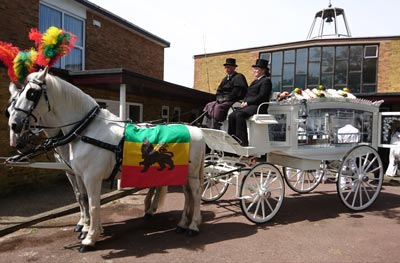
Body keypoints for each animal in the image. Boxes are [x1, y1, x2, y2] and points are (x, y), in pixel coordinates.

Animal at [7, 67, 205, 252]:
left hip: (191, 174)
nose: (14, 125)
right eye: (11, 104)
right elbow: (84, 200)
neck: (87, 129)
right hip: (182, 173)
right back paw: (181, 223)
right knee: (187, 195)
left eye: (31, 93)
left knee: (195, 194)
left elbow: (94, 205)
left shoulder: (92, 177)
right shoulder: (79, 175)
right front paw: (88, 228)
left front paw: (89, 238)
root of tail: (196, 130)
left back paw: (193, 226)